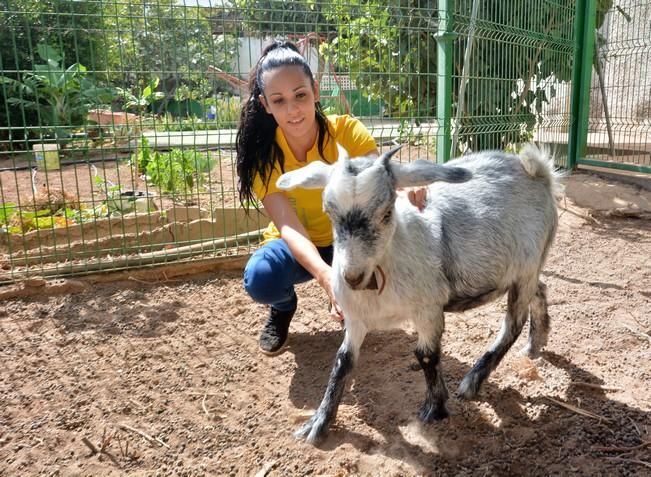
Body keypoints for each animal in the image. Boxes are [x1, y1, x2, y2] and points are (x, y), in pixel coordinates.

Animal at [278, 144, 564, 442]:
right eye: (329, 213)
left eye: (386, 213)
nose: (352, 277)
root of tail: (537, 170)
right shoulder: (356, 319)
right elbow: (342, 361)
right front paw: (318, 422)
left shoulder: (428, 309)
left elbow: (425, 355)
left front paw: (435, 408)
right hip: (526, 270)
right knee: (540, 290)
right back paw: (535, 344)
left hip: (525, 267)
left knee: (513, 323)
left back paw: (473, 381)